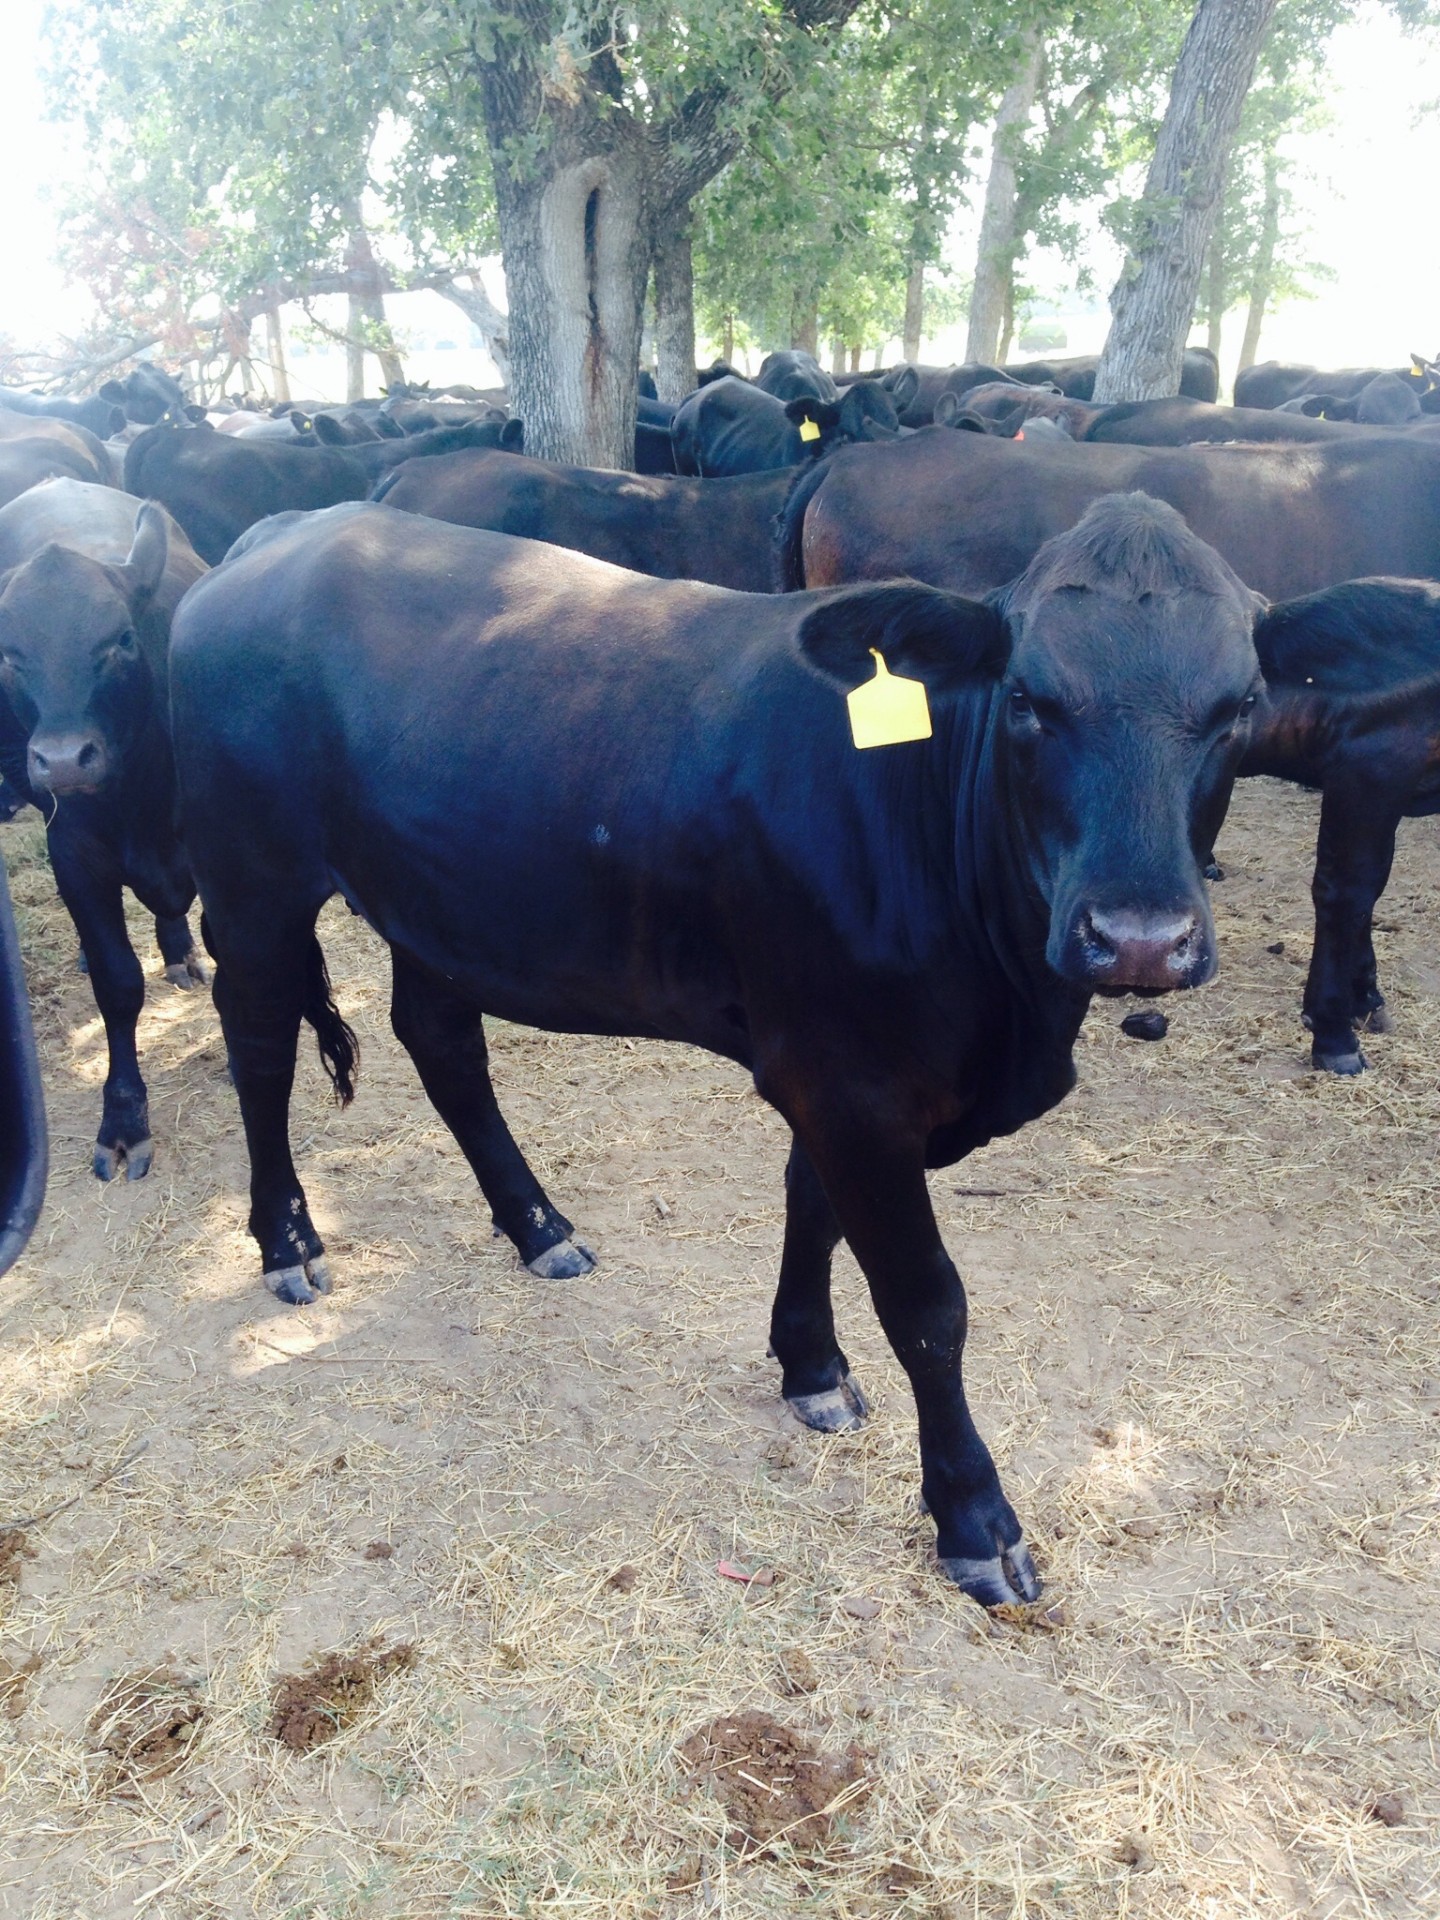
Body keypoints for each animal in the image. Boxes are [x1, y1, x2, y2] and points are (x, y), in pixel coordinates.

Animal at [0, 476, 208, 1182]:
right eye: (9, 653)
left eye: (119, 638)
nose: (64, 760)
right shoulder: (75, 858)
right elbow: (117, 984)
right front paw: (123, 1120)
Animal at [177, 495, 1259, 1605]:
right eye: (1030, 702)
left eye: (1241, 706)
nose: (1140, 939)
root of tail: (295, 529)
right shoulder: (851, 1082)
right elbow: (926, 1303)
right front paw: (974, 1518)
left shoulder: (834, 1061)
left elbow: (812, 1212)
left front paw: (811, 1370)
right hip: (253, 880)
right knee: (260, 1043)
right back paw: (289, 1241)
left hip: (433, 898)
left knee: (442, 1043)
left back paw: (537, 1225)